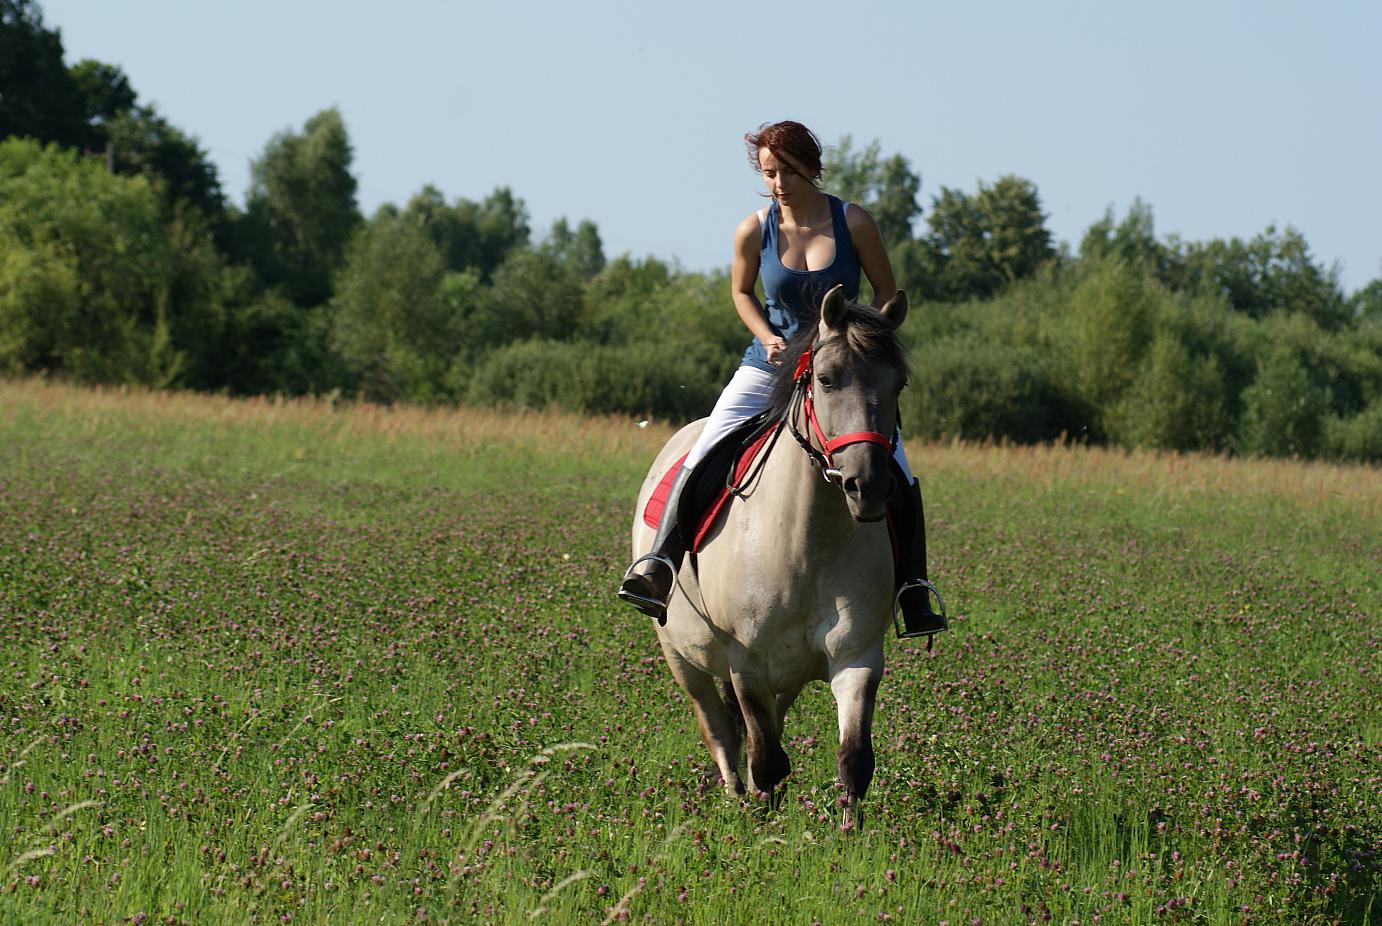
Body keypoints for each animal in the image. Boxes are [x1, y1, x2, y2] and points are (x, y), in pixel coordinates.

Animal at [629, 284, 911, 824]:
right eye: (826, 379)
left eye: (899, 385)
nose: (867, 485)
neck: (806, 543)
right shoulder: (746, 662)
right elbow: (763, 757)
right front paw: (760, 827)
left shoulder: (857, 656)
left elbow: (853, 757)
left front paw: (848, 833)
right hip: (681, 658)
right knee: (719, 729)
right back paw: (734, 795)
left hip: (791, 673)